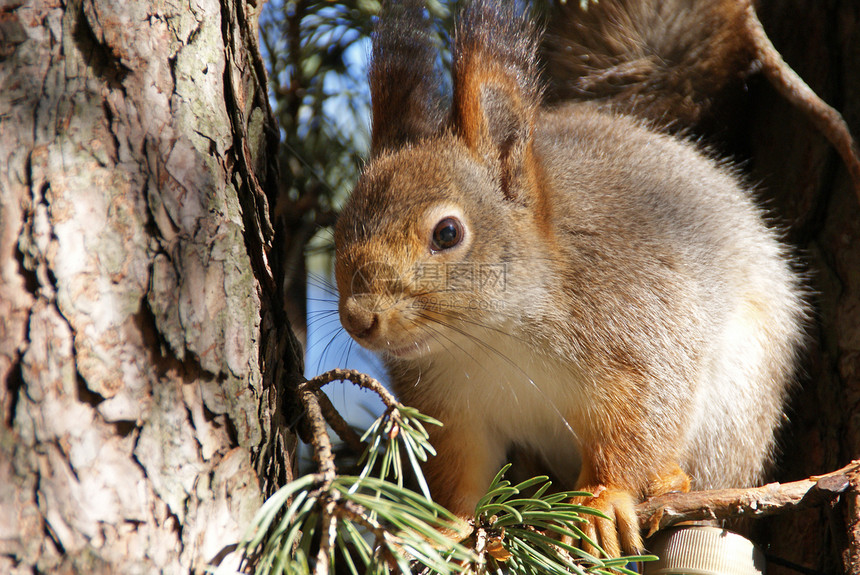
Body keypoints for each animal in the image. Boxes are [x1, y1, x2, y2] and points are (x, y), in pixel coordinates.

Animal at [334, 0, 808, 560]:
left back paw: (671, 480)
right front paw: (448, 530)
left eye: (447, 233)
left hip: (737, 409)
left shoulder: (637, 328)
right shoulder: (449, 407)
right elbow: (463, 473)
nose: (359, 318)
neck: (495, 336)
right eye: (340, 223)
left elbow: (637, 423)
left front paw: (602, 500)